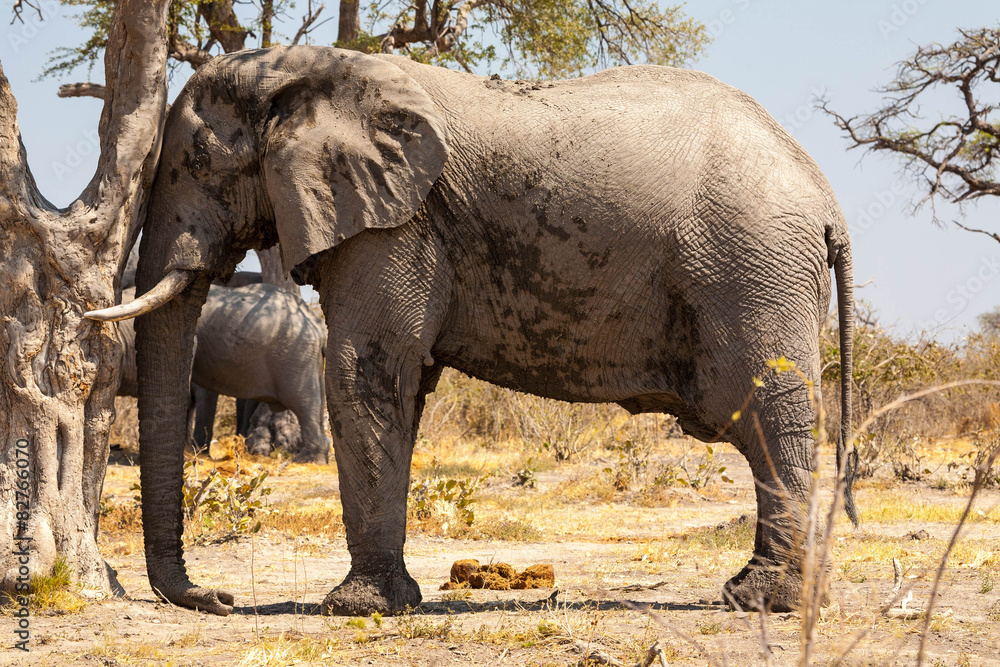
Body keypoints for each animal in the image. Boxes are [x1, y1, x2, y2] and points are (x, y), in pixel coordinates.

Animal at [116, 283, 329, 462]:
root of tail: (318, 325)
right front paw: (188, 453)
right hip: (309, 359)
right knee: (317, 403)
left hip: (295, 356)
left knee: (303, 402)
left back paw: (307, 460)